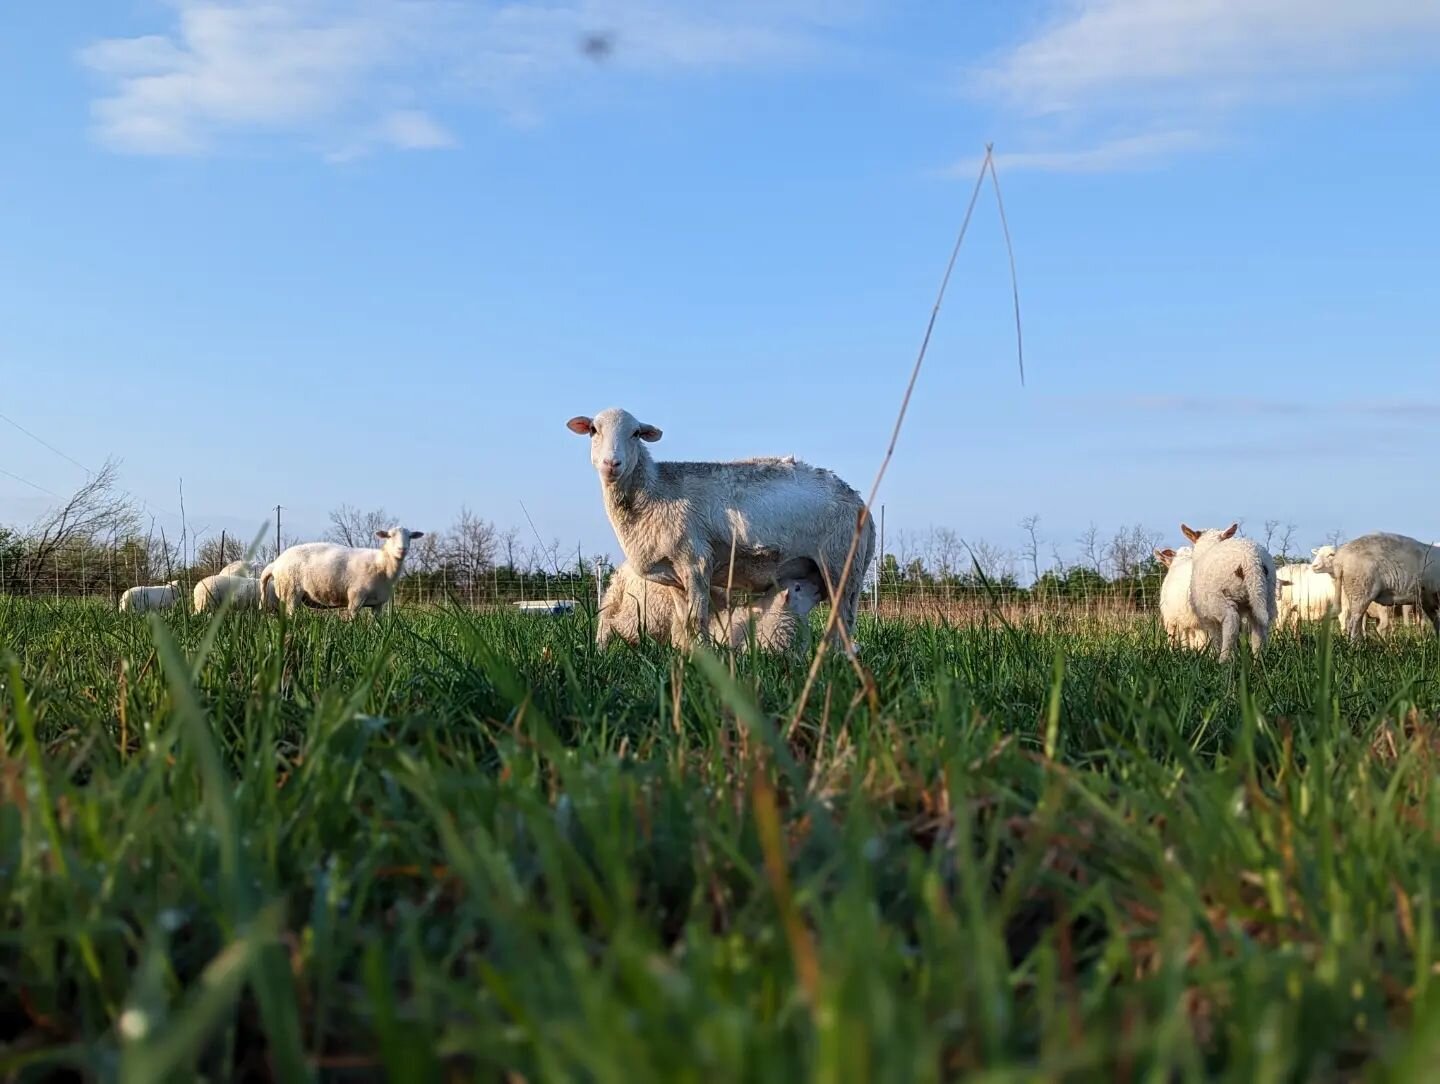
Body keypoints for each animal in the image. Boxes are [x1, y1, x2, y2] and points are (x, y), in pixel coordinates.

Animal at [262, 529, 423, 621]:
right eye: (389, 536)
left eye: (410, 537)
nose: (402, 549)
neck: (382, 563)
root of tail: (275, 563)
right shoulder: (355, 598)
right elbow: (352, 621)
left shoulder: (378, 604)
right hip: (290, 591)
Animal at [567, 403, 869, 642]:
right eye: (593, 430)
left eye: (635, 433)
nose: (611, 463)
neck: (654, 491)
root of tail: (857, 498)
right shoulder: (675, 578)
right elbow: (683, 624)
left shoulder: (696, 561)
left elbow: (696, 621)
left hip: (841, 563)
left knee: (844, 621)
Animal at [1175, 521, 1278, 659]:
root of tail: (1251, 559)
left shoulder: (1207, 617)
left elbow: (1215, 636)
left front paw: (1215, 654)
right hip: (1266, 593)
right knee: (1260, 627)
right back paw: (1258, 658)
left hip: (1221, 598)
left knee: (1231, 623)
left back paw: (1223, 659)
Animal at [1307, 535, 1440, 642]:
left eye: (1329, 554)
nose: (1314, 566)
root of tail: (1340, 560)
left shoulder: (1428, 600)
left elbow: (1435, 622)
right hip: (1361, 589)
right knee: (1354, 624)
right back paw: (1355, 648)